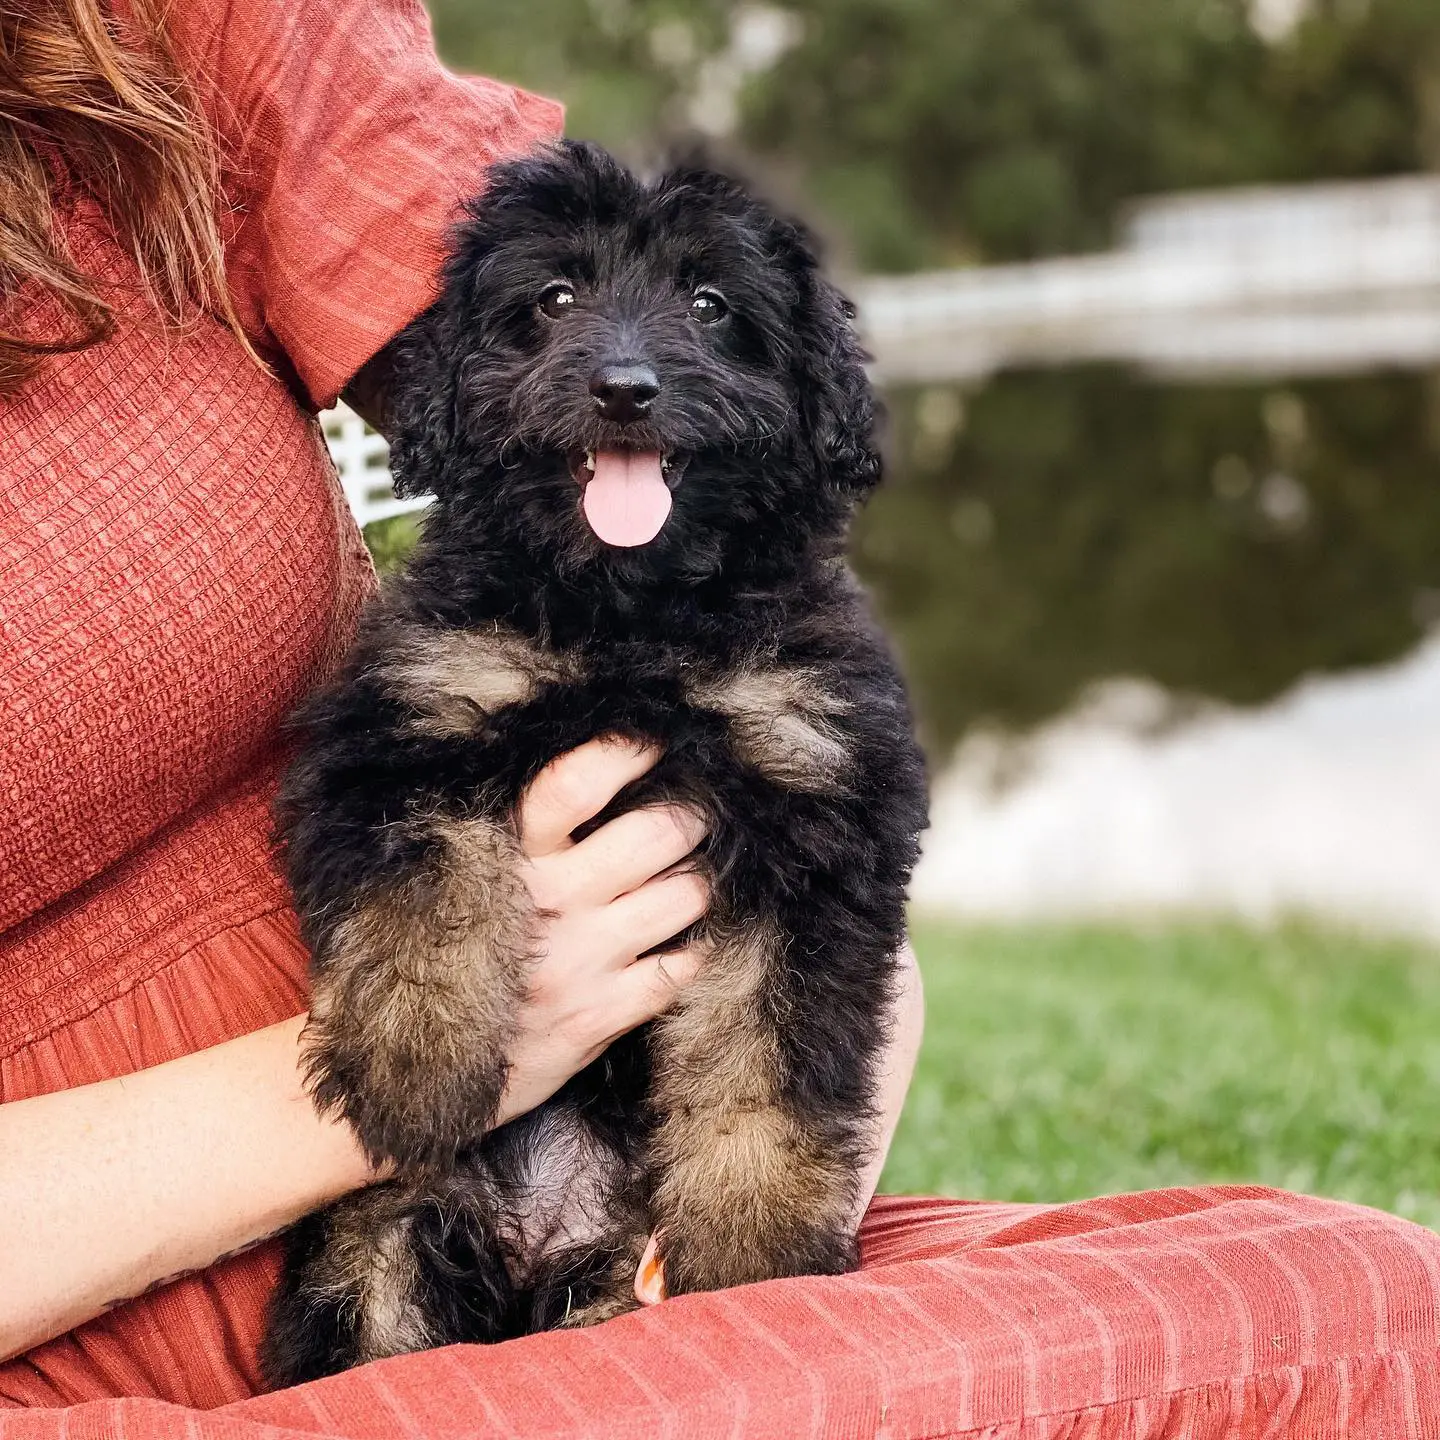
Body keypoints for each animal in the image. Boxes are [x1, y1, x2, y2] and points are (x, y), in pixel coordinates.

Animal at [264, 143, 927, 1382]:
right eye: (554, 298)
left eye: (710, 305)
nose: (627, 387)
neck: (630, 621)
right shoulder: (412, 720)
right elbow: (426, 880)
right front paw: (416, 1065)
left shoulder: (814, 809)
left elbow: (768, 1050)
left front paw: (758, 1240)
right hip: (379, 1248)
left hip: (613, 1269)